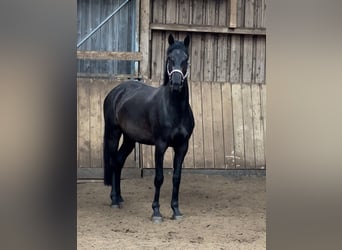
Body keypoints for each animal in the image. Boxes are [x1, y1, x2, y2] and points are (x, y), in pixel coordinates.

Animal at [103, 33, 194, 223]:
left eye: (186, 59)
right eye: (169, 58)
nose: (176, 83)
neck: (175, 109)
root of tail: (116, 92)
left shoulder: (182, 146)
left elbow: (176, 178)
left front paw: (176, 210)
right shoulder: (160, 146)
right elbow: (159, 178)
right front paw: (156, 212)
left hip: (129, 139)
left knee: (119, 161)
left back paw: (120, 198)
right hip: (113, 133)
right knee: (113, 160)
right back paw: (114, 200)